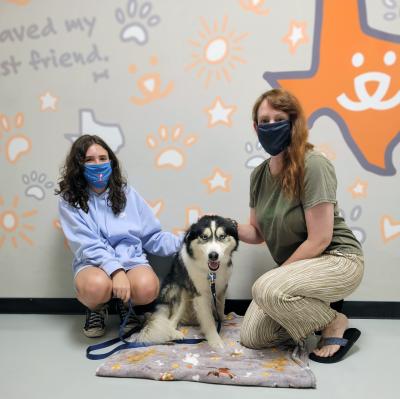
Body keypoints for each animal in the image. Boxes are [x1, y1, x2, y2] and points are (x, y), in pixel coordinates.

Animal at [138, 216, 238, 350]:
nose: (213, 255)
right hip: (180, 293)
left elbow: (221, 307)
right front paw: (215, 340)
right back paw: (173, 334)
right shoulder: (200, 295)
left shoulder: (222, 288)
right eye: (204, 237)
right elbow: (208, 320)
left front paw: (222, 320)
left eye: (222, 236)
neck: (211, 273)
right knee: (170, 321)